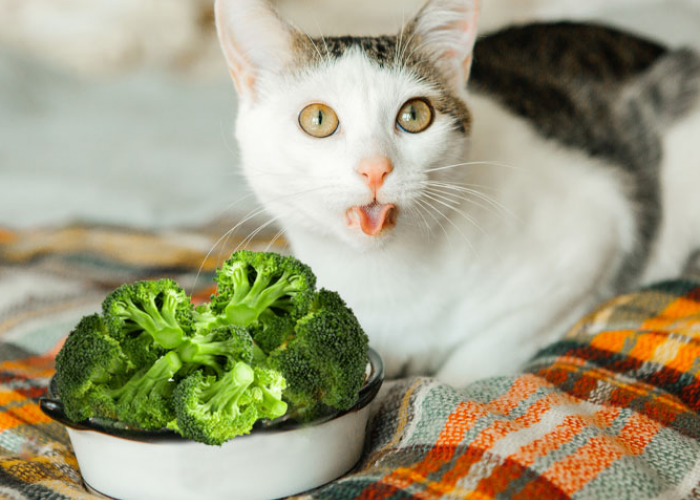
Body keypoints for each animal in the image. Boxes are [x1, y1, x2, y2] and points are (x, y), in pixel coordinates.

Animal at [213, 0, 700, 386]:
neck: (388, 275)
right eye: (317, 119)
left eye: (414, 115)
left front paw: (452, 379)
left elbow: (483, 353)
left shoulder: (596, 234)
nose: (375, 168)